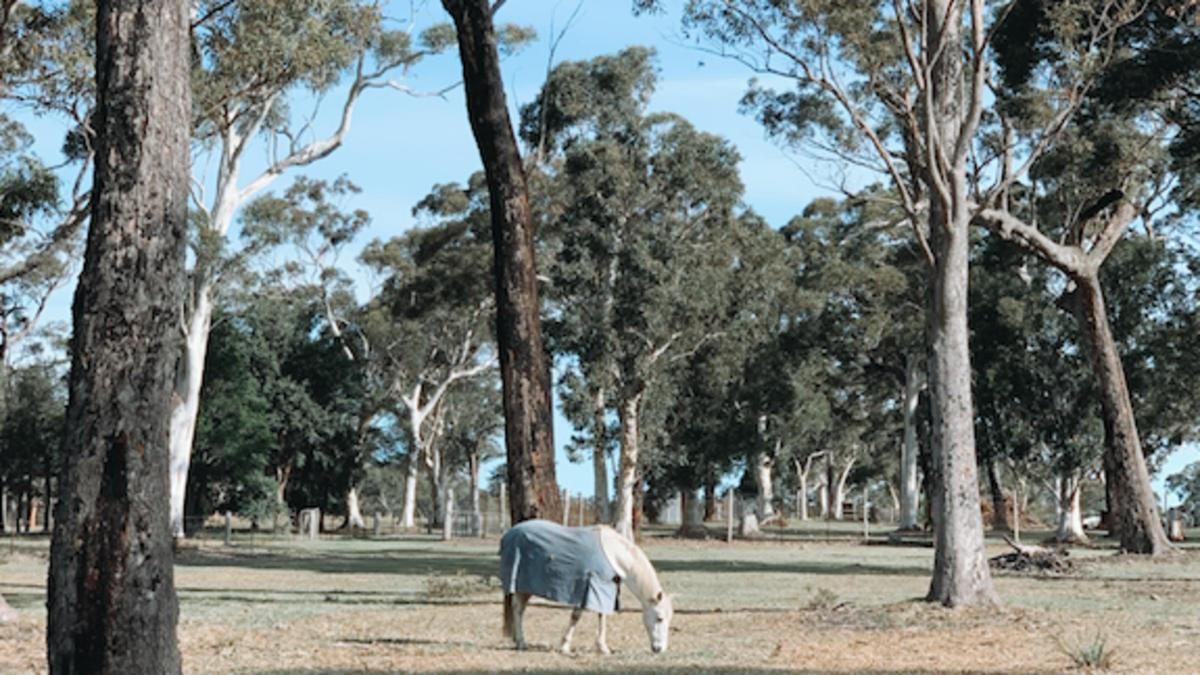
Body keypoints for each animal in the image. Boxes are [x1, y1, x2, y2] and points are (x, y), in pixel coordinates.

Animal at [499, 519, 674, 654]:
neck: (613, 553)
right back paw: (521, 643)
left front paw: (602, 647)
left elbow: (602, 616)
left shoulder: (604, 589)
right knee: (517, 609)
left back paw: (518, 640)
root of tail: (509, 533)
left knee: (520, 610)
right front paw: (565, 646)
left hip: (525, 587)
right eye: (659, 618)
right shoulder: (589, 587)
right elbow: (576, 615)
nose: (659, 649)